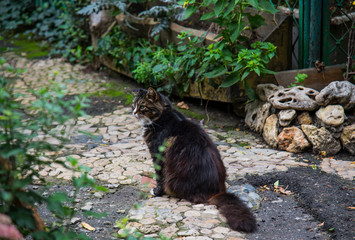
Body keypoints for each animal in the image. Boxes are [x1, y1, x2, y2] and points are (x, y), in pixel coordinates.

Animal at [132, 87, 258, 232]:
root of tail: (217, 191)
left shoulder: (158, 155)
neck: (164, 117)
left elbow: (159, 178)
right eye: (134, 104)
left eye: (142, 106)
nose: (134, 112)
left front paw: (156, 192)